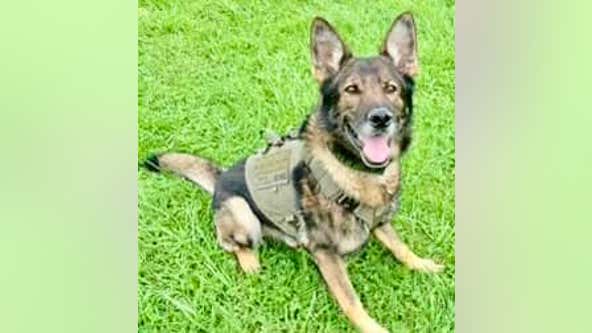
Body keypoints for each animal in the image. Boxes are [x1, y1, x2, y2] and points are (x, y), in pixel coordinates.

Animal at [146, 12, 444, 332]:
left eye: (391, 88)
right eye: (352, 90)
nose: (380, 118)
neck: (353, 171)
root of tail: (221, 177)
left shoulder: (380, 222)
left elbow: (400, 247)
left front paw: (422, 264)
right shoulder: (326, 253)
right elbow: (351, 301)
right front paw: (373, 327)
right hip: (242, 214)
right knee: (231, 244)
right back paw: (250, 263)